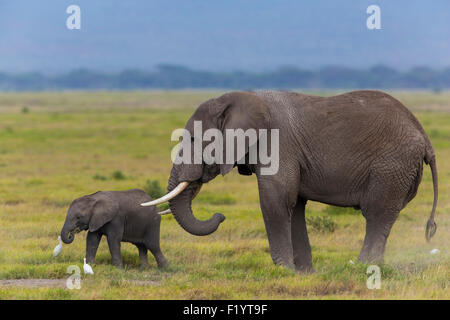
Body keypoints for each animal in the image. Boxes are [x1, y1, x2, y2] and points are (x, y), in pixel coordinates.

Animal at [142, 90, 438, 272]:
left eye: (192, 139)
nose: (220, 216)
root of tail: (425, 137)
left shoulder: (279, 144)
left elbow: (276, 200)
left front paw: (284, 269)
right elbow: (294, 205)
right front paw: (303, 273)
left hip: (391, 166)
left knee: (376, 214)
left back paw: (360, 266)